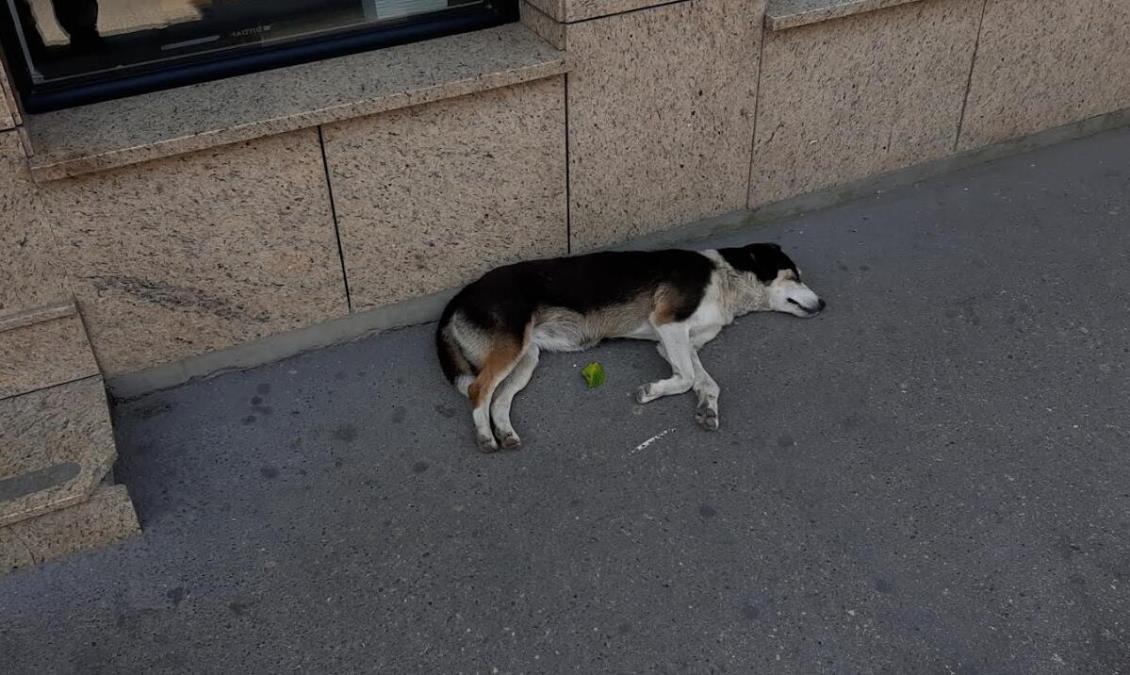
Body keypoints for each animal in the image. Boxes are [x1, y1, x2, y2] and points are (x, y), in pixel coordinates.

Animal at [436, 243, 824, 451]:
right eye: (795, 276)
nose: (823, 304)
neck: (724, 279)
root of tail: (461, 295)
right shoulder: (668, 323)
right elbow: (686, 378)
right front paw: (650, 392)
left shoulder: (678, 342)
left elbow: (706, 382)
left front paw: (707, 409)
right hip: (510, 347)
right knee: (479, 390)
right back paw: (485, 436)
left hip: (526, 358)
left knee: (500, 399)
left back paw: (505, 433)